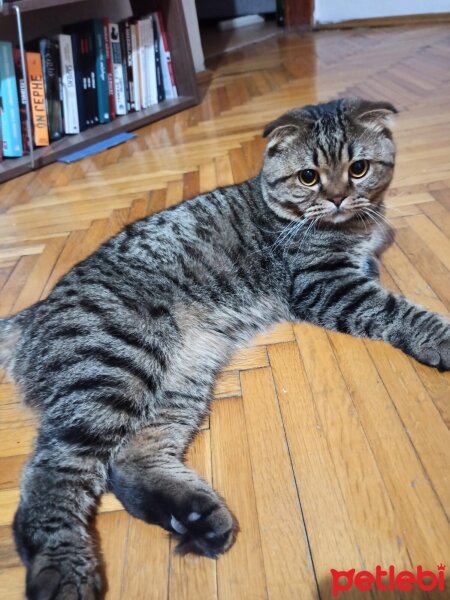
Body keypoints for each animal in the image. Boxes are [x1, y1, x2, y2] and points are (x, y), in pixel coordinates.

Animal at [0, 98, 448, 596]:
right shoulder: (327, 285)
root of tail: (32, 312)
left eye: (359, 169)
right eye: (308, 176)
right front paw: (441, 337)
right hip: (112, 367)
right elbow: (400, 310)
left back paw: (196, 516)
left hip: (177, 378)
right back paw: (64, 567)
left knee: (130, 459)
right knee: (51, 473)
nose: (336, 198)